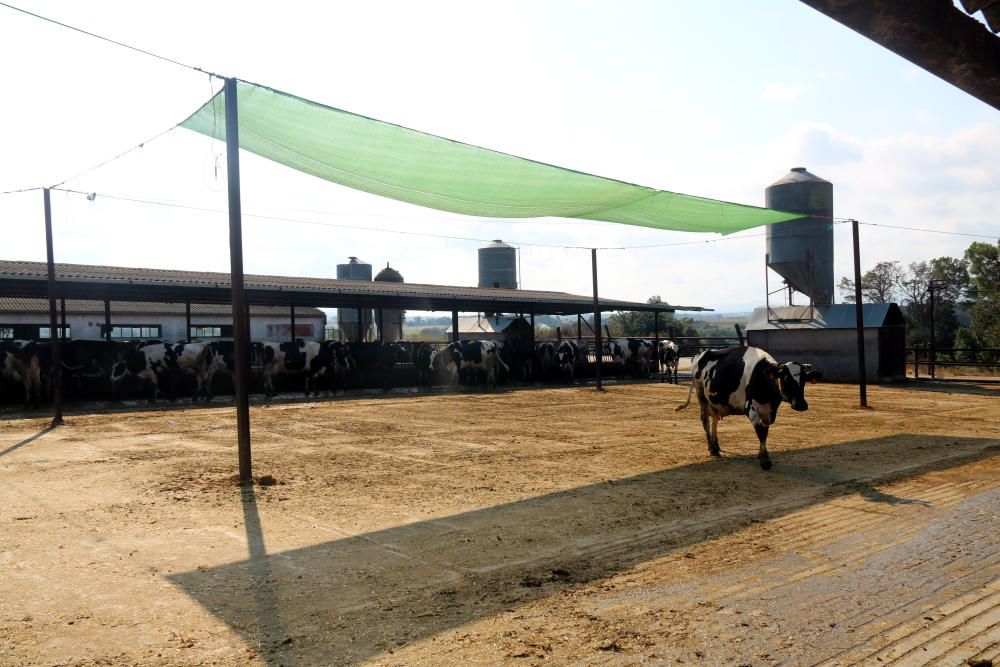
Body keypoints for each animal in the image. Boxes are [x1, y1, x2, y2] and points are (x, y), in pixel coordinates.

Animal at [672, 348, 820, 472]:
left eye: (804, 380)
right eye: (787, 378)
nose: (801, 405)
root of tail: (700, 354)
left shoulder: (769, 411)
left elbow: (765, 429)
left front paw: (761, 454)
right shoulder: (751, 409)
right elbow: (761, 431)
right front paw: (765, 460)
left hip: (714, 401)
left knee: (714, 419)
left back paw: (716, 445)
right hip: (701, 393)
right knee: (705, 420)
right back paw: (712, 448)